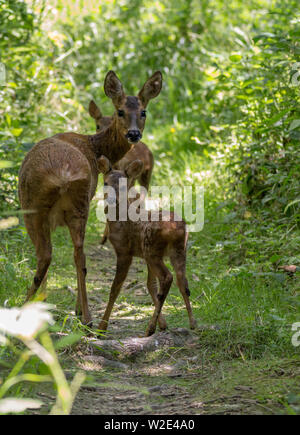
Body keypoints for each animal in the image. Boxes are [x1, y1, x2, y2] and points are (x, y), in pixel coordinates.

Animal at [19, 70, 162, 326]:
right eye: (120, 111)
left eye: (144, 112)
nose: (134, 134)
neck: (93, 146)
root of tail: (62, 175)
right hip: (76, 206)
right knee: (73, 254)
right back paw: (80, 315)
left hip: (35, 206)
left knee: (51, 255)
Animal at [97, 157, 198, 338]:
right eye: (105, 182)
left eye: (123, 185)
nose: (111, 200)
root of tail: (177, 229)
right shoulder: (143, 256)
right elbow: (151, 285)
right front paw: (163, 324)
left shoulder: (125, 251)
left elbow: (115, 288)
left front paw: (101, 328)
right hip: (178, 250)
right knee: (182, 282)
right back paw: (192, 323)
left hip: (153, 250)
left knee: (168, 277)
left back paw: (149, 328)